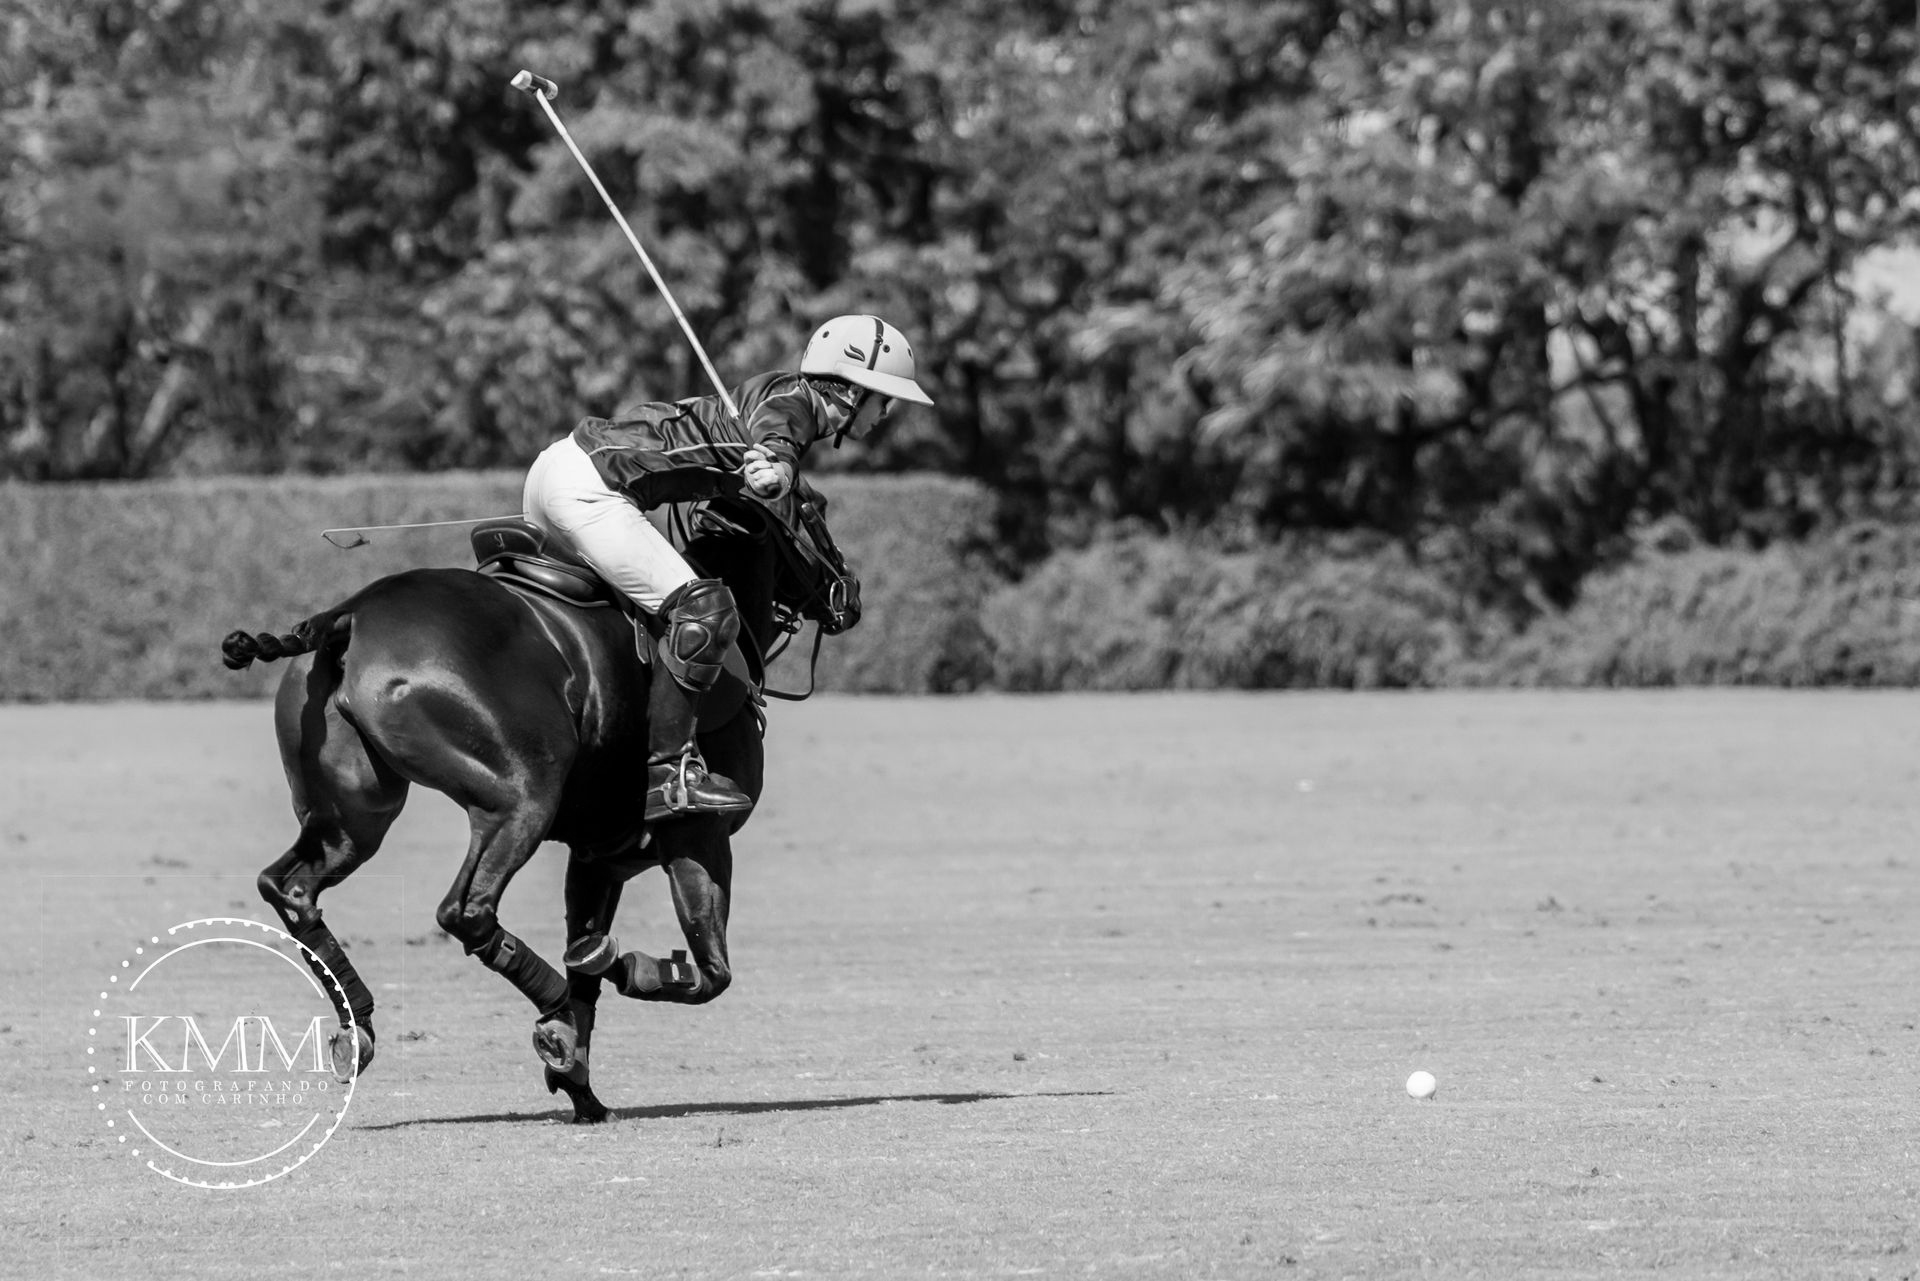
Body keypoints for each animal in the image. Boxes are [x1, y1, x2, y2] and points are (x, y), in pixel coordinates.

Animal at [219, 486, 857, 1122]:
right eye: (816, 508)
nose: (848, 595)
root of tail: (350, 613)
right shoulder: (699, 838)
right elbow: (708, 971)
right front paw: (616, 983)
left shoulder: (601, 856)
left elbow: (590, 956)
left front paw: (582, 1086)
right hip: (523, 793)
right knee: (466, 910)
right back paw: (549, 1006)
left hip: (356, 817)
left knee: (289, 886)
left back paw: (362, 1026)